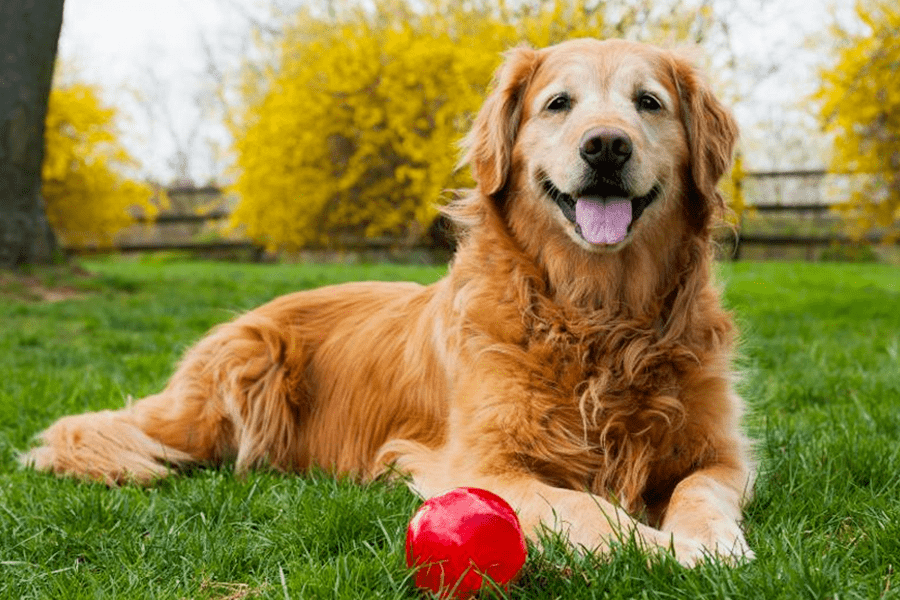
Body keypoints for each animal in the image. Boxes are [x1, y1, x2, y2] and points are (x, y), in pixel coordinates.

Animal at [21, 38, 752, 568]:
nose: (605, 145)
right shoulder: (480, 462)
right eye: (559, 104)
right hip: (233, 381)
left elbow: (700, 491)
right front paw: (672, 550)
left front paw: (711, 542)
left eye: (648, 102)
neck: (599, 316)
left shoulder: (721, 452)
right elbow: (585, 508)